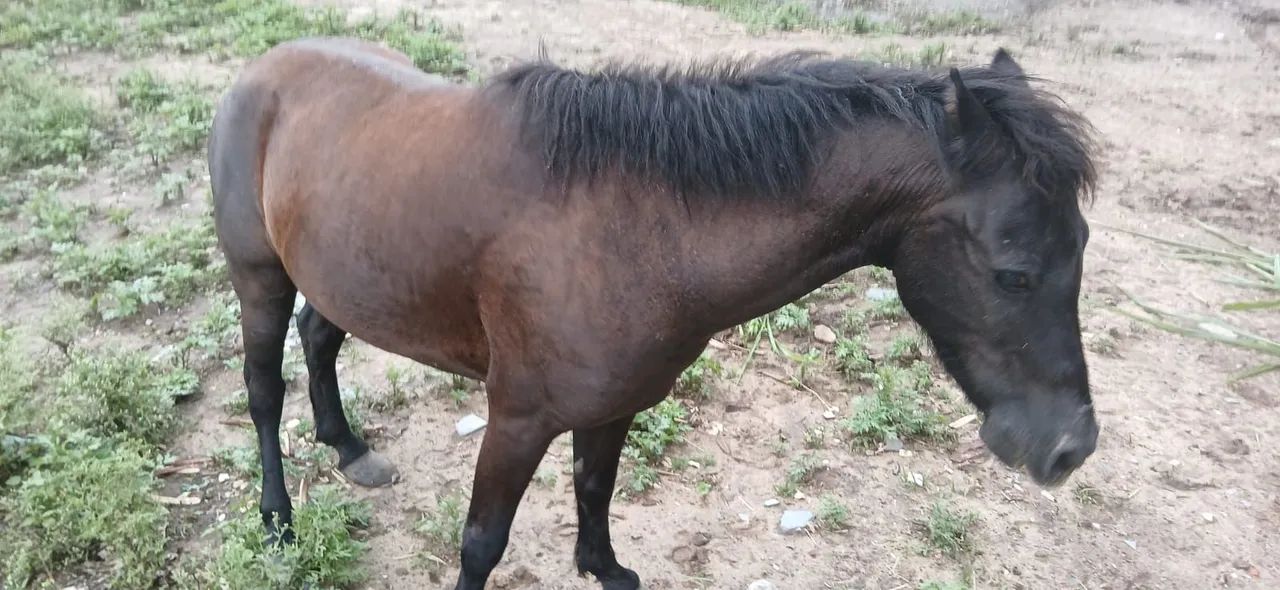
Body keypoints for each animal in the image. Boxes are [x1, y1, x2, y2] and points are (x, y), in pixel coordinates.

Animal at [208, 37, 1100, 590]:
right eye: (1015, 273)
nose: (1069, 448)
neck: (635, 229)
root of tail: (262, 71)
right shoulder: (517, 418)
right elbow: (482, 544)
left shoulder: (613, 406)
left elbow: (595, 492)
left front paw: (604, 568)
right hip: (259, 279)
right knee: (263, 392)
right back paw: (278, 523)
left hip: (342, 276)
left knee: (320, 338)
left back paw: (349, 447)